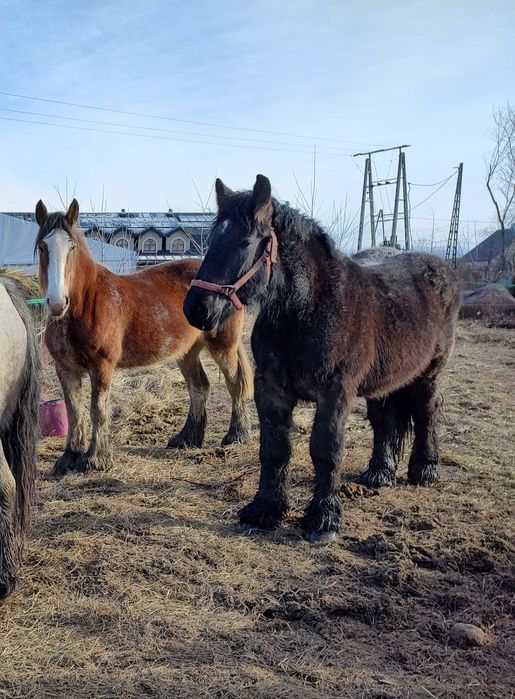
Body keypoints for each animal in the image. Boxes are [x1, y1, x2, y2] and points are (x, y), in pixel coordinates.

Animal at [35, 200, 253, 478]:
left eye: (71, 247)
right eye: (43, 247)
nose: (56, 303)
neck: (85, 304)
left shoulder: (101, 367)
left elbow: (98, 410)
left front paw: (95, 459)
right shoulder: (65, 369)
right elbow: (74, 411)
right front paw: (69, 458)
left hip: (223, 346)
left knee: (234, 384)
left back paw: (236, 435)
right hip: (187, 352)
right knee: (199, 388)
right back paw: (186, 438)